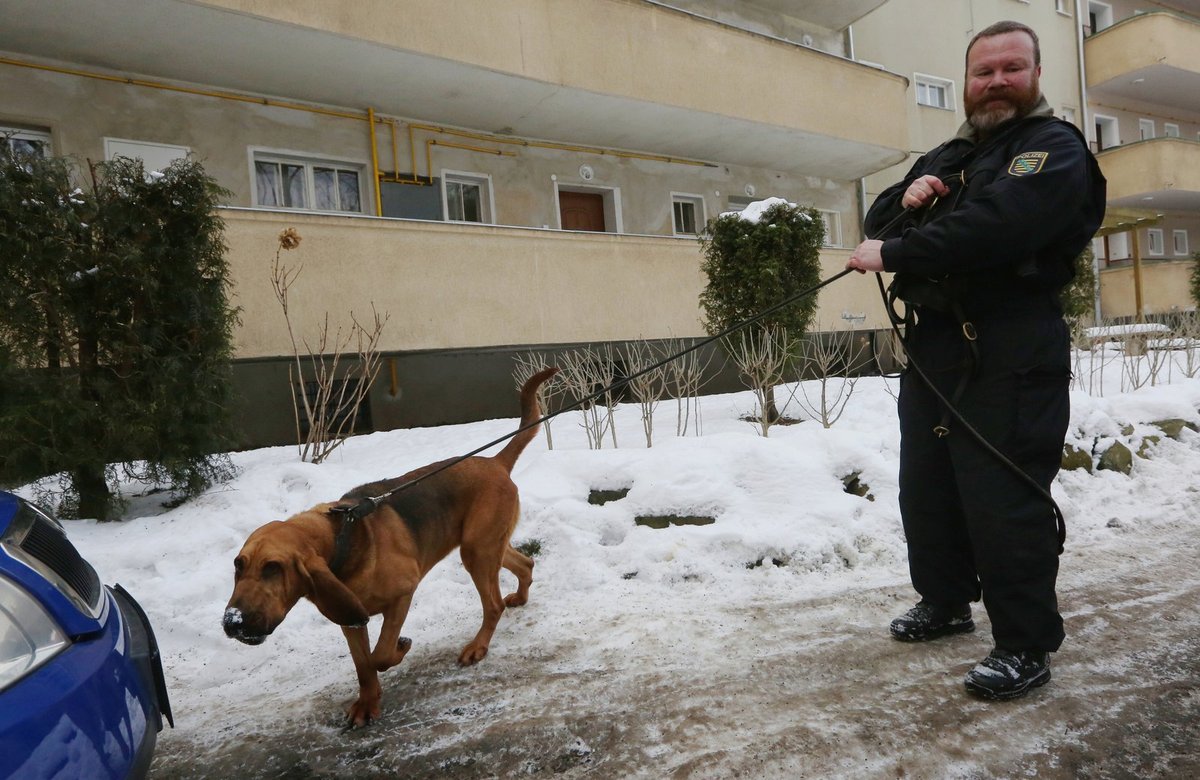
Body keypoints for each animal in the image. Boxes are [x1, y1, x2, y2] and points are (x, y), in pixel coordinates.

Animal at [224, 367, 556, 724]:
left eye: (273, 568)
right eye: (238, 566)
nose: (231, 622)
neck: (344, 540)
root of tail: (495, 462)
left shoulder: (402, 595)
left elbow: (379, 655)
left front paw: (401, 647)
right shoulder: (350, 619)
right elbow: (363, 665)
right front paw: (367, 704)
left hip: (477, 553)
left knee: (493, 605)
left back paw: (477, 646)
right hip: (483, 545)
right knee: (525, 563)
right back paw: (520, 597)